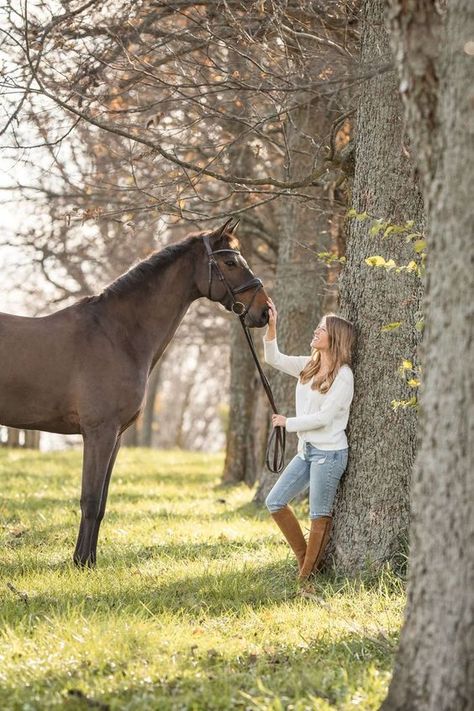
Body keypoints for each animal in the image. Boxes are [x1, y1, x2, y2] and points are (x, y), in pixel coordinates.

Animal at [0, 222, 268, 568]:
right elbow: (89, 499)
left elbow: (101, 503)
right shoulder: (99, 432)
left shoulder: (116, 436)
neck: (117, 334)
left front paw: (89, 561)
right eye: (231, 262)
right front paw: (81, 562)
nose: (265, 311)